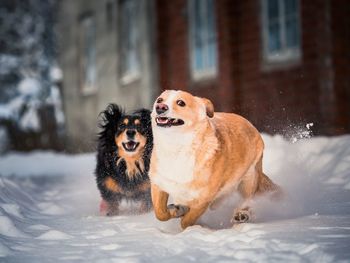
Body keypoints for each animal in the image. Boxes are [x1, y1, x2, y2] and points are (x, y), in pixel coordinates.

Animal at [149, 90, 280, 229]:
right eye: (159, 100)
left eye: (181, 103)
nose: (160, 107)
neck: (176, 147)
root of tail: (249, 123)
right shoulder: (158, 183)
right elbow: (160, 212)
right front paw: (175, 210)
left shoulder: (204, 199)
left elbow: (187, 221)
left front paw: (191, 226)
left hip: (249, 177)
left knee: (248, 199)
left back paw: (242, 214)